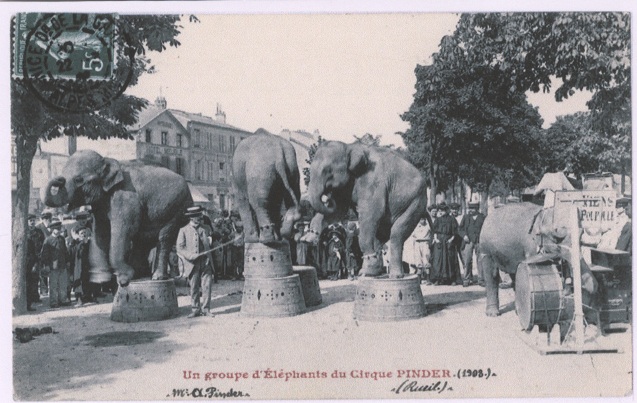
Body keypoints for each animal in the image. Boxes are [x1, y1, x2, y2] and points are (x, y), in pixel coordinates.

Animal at [42, 150, 193, 286]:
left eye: (78, 179)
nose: (59, 179)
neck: (108, 160)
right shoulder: (100, 205)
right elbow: (100, 232)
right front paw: (99, 279)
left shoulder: (125, 197)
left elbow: (124, 230)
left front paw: (124, 279)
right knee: (143, 240)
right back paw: (139, 275)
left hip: (177, 208)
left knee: (164, 237)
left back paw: (156, 277)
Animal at [306, 141, 430, 278]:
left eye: (328, 171)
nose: (328, 197)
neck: (350, 147)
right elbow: (338, 211)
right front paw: (309, 237)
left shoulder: (373, 180)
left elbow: (371, 214)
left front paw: (365, 272)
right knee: (379, 236)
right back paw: (375, 272)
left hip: (417, 202)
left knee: (396, 234)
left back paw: (393, 275)